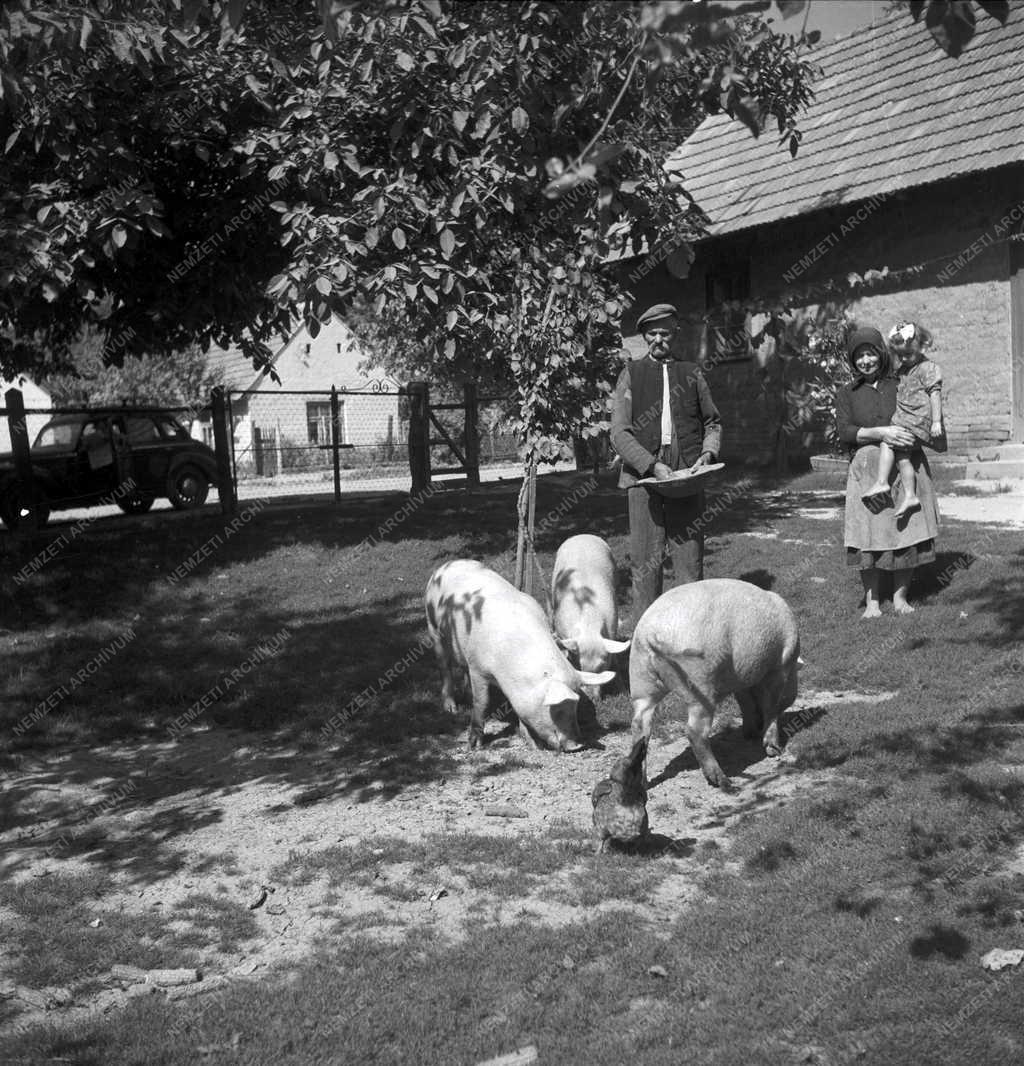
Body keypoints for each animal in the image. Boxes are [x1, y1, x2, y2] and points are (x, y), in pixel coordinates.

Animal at [426, 558, 613, 750]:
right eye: (557, 708)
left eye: (575, 707)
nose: (577, 745)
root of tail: (448, 564)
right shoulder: (478, 668)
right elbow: (482, 702)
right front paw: (475, 745)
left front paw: (534, 745)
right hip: (432, 625)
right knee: (444, 667)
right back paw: (451, 708)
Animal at [549, 533, 630, 699]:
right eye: (578, 665)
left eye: (601, 667)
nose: (593, 698)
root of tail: (582, 535)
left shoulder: (612, 627)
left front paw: (624, 692)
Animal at [626, 579, 801, 788]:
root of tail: (651, 633)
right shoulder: (779, 667)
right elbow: (771, 706)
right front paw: (774, 750)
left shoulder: (742, 679)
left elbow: (746, 703)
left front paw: (749, 734)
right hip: (700, 682)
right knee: (694, 731)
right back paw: (722, 780)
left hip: (640, 679)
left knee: (640, 725)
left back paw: (643, 783)